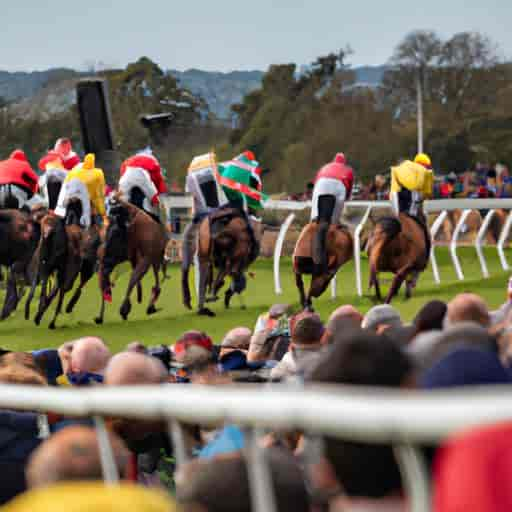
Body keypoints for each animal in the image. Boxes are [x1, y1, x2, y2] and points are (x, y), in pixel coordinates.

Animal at [96, 194, 166, 322]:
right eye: (108, 232)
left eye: (117, 234)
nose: (102, 253)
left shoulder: (146, 259)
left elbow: (133, 278)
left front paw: (124, 308)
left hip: (153, 258)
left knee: (155, 279)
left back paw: (150, 304)